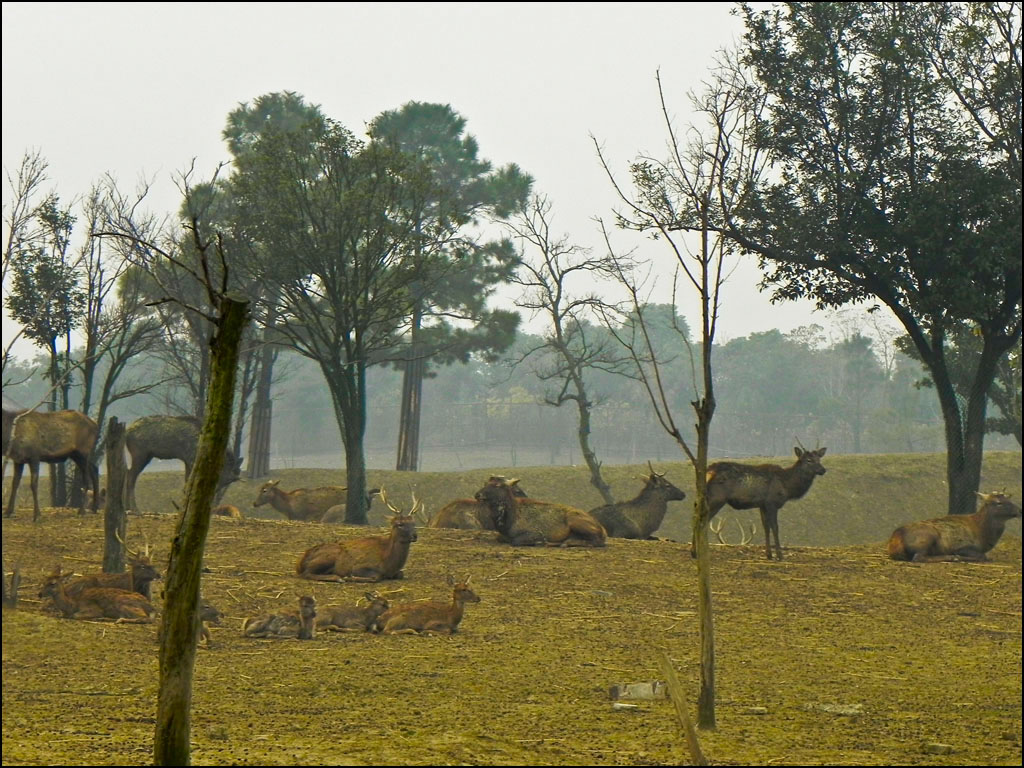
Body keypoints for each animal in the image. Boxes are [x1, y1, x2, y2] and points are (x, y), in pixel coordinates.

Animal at [473, 475, 606, 548]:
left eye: (497, 485)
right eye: (485, 483)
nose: (477, 494)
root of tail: (602, 529)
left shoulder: (535, 532)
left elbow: (516, 540)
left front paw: (539, 541)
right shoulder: (501, 535)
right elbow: (499, 538)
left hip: (575, 521)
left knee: (598, 541)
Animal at [884, 489, 1019, 561]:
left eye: (1010, 500)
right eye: (999, 502)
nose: (1020, 510)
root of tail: (895, 539)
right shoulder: (962, 545)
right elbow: (982, 556)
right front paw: (960, 556)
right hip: (927, 536)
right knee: (918, 557)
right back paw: (951, 557)